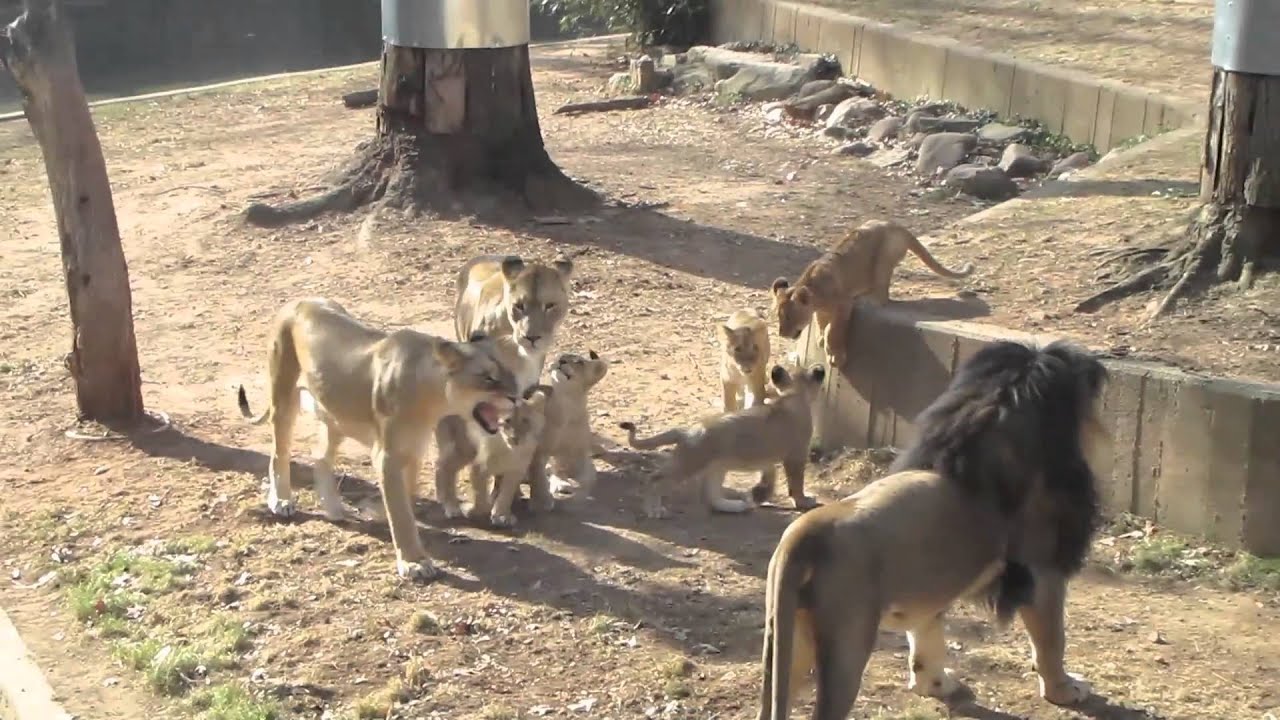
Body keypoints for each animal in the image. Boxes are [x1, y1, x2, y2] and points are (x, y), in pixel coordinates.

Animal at [236, 297, 521, 581]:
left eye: (509, 371)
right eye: (489, 378)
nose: (520, 396)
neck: (433, 398)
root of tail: (300, 300)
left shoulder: (413, 451)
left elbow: (406, 497)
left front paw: (382, 514)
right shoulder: (387, 456)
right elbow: (402, 512)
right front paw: (414, 562)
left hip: (336, 415)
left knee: (320, 458)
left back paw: (334, 509)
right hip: (284, 395)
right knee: (280, 452)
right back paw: (282, 501)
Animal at [434, 383, 553, 528]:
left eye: (525, 421)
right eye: (507, 421)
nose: (515, 438)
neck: (510, 451)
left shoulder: (515, 471)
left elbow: (506, 494)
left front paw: (502, 516)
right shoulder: (479, 468)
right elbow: (480, 496)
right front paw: (473, 511)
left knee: (443, 466)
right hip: (462, 447)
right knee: (444, 467)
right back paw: (452, 507)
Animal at [620, 363, 826, 519]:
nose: (821, 367)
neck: (792, 396)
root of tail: (688, 430)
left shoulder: (769, 457)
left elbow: (770, 474)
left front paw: (758, 494)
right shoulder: (796, 454)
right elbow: (796, 483)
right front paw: (804, 501)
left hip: (716, 467)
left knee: (711, 497)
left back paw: (737, 506)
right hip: (689, 463)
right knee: (654, 478)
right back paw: (654, 510)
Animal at [756, 340, 1109, 720]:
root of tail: (803, 535)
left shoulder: (932, 592)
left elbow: (926, 633)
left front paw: (934, 684)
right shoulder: (1042, 568)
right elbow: (1052, 639)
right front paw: (1064, 690)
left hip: (787, 638)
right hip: (845, 643)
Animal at [770, 219, 974, 369]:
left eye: (789, 317)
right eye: (778, 316)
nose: (781, 334)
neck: (815, 292)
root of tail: (895, 224)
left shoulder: (843, 303)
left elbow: (834, 329)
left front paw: (835, 354)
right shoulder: (821, 310)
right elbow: (821, 324)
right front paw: (820, 338)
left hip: (884, 259)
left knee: (883, 295)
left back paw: (868, 299)